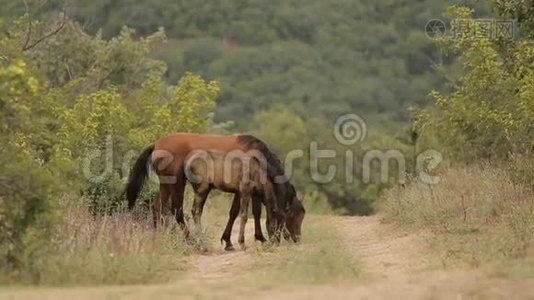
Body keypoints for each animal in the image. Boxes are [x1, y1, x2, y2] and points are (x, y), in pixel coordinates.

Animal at [126, 134, 308, 246]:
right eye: (292, 216)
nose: (297, 239)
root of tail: (156, 144)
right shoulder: (242, 191)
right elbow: (237, 212)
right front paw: (230, 241)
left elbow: (254, 212)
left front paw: (257, 237)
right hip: (177, 183)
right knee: (177, 211)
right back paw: (192, 241)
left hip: (165, 185)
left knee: (157, 207)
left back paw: (158, 237)